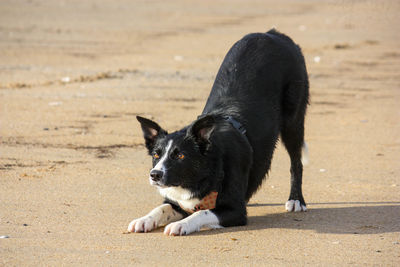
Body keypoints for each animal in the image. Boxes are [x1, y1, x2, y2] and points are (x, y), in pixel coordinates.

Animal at [128, 28, 310, 236]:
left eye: (180, 156)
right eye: (156, 155)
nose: (155, 175)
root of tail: (273, 34)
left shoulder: (236, 212)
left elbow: (202, 212)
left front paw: (181, 224)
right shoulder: (178, 202)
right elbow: (162, 208)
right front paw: (144, 220)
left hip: (293, 121)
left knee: (296, 162)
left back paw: (296, 200)